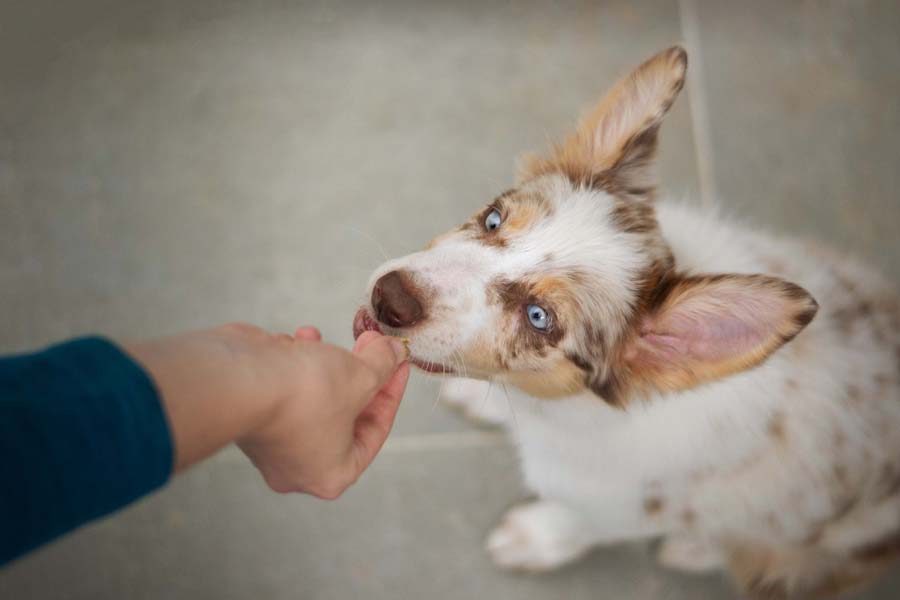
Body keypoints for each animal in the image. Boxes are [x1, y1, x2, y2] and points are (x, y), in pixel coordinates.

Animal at [352, 48, 900, 600]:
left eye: (539, 318)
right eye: (493, 218)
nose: (388, 298)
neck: (571, 412)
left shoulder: (625, 506)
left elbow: (579, 523)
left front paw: (532, 539)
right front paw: (478, 399)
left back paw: (694, 549)